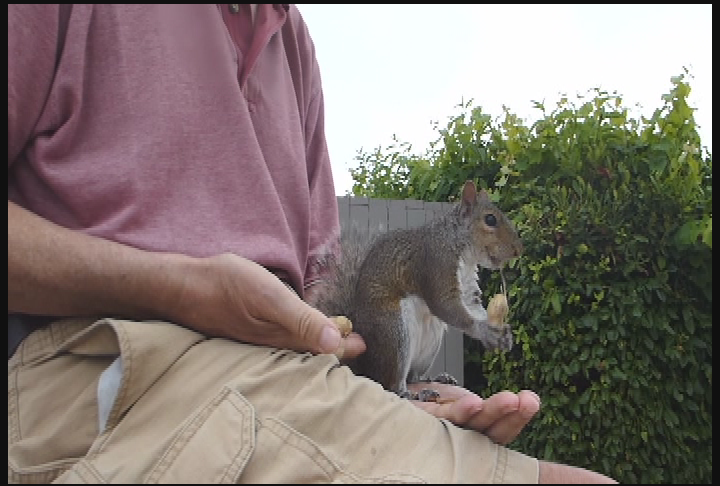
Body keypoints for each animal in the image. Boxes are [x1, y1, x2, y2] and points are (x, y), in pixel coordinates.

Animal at [313, 180, 523, 401]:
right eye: (490, 219)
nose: (519, 249)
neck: (460, 247)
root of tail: (364, 367)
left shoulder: (466, 288)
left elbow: (472, 306)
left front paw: (502, 335)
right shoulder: (435, 264)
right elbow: (444, 305)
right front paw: (484, 331)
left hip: (429, 343)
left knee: (413, 376)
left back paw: (437, 379)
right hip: (394, 333)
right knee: (392, 386)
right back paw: (414, 394)